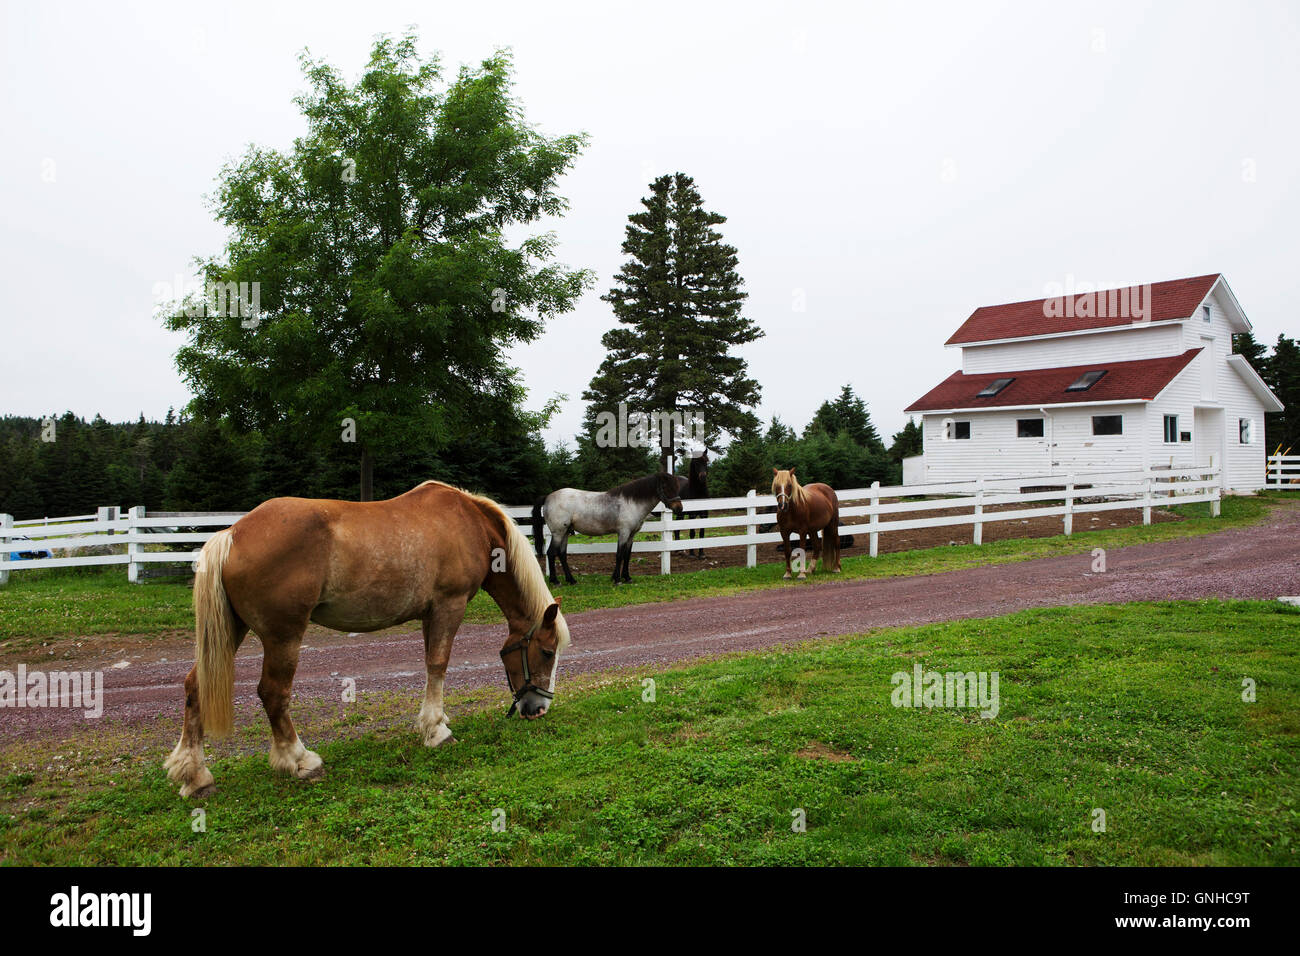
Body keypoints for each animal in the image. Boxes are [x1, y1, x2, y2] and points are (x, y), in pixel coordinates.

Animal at [164, 480, 570, 799]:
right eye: (547, 652)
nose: (539, 709)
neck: (471, 525)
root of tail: (231, 535)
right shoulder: (448, 606)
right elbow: (438, 665)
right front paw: (437, 731)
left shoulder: (430, 614)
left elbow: (431, 667)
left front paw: (433, 722)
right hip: (283, 637)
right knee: (273, 693)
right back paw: (300, 761)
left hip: (231, 631)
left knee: (194, 686)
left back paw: (196, 776)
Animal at [532, 472, 683, 585]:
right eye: (666, 487)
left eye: (677, 487)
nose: (679, 508)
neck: (632, 502)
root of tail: (548, 497)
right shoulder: (623, 533)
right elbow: (619, 554)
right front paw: (617, 580)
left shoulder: (631, 535)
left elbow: (627, 555)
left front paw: (627, 578)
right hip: (558, 533)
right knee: (551, 553)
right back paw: (555, 581)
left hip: (565, 533)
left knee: (562, 554)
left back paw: (571, 580)